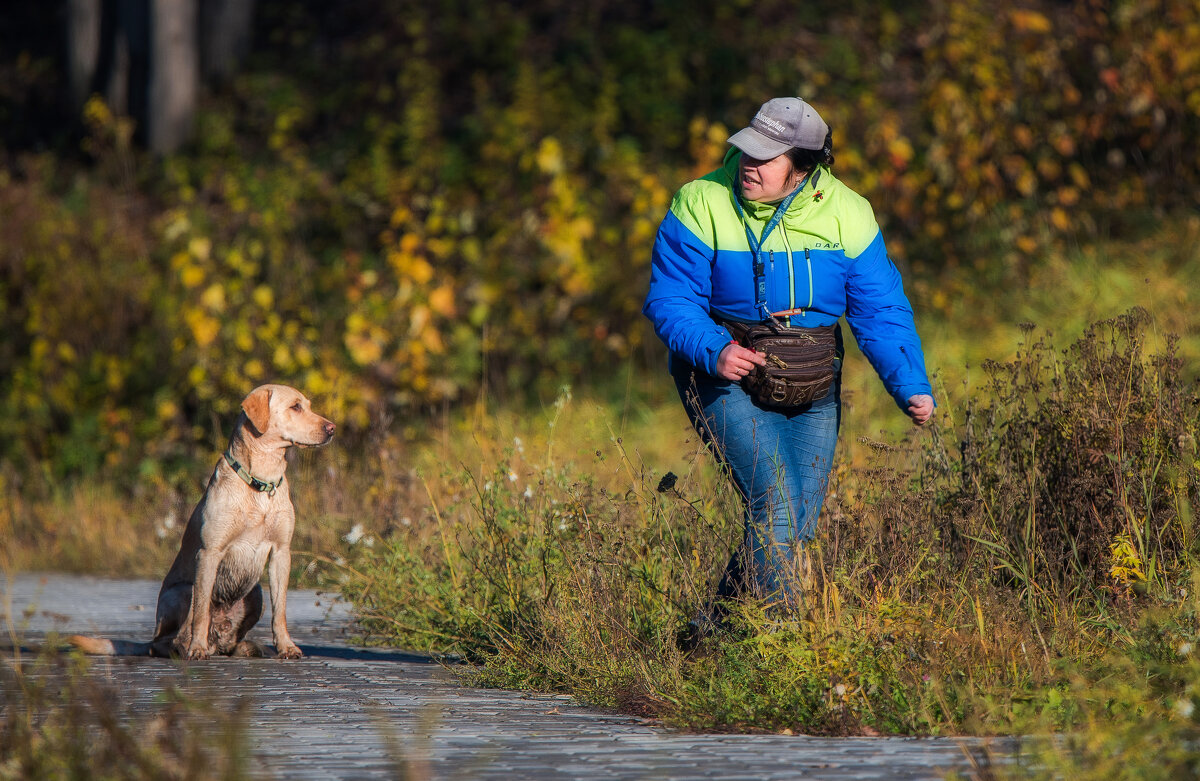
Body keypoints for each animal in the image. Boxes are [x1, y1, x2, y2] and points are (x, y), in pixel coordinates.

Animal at [68, 386, 336, 662]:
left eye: (308, 405)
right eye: (295, 407)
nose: (332, 428)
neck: (261, 481)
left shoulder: (281, 552)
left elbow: (280, 611)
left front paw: (286, 647)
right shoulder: (210, 553)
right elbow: (201, 613)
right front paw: (196, 648)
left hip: (255, 592)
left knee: (228, 640)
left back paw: (244, 647)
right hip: (184, 592)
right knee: (168, 639)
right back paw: (188, 647)